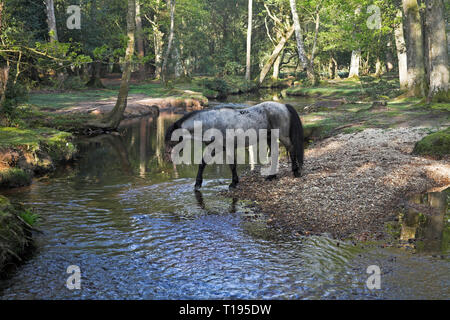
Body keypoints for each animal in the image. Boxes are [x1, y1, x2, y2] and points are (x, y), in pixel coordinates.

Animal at [163, 101, 304, 190]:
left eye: (171, 138)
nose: (167, 158)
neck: (212, 123)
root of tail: (283, 106)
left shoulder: (229, 147)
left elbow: (232, 165)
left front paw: (233, 183)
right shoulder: (215, 148)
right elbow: (202, 163)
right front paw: (198, 184)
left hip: (283, 136)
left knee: (291, 149)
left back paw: (296, 172)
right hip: (270, 137)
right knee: (275, 154)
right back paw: (271, 176)